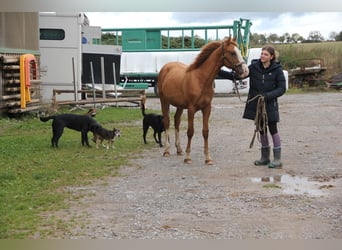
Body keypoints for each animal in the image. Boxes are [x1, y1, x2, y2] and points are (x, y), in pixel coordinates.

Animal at [158, 37, 248, 165]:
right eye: (232, 53)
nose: (245, 71)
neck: (200, 79)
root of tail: (166, 67)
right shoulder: (191, 109)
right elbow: (190, 132)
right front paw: (188, 157)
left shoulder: (207, 108)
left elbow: (205, 132)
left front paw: (208, 158)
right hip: (164, 101)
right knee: (167, 121)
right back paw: (166, 150)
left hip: (180, 105)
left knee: (177, 121)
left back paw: (179, 149)